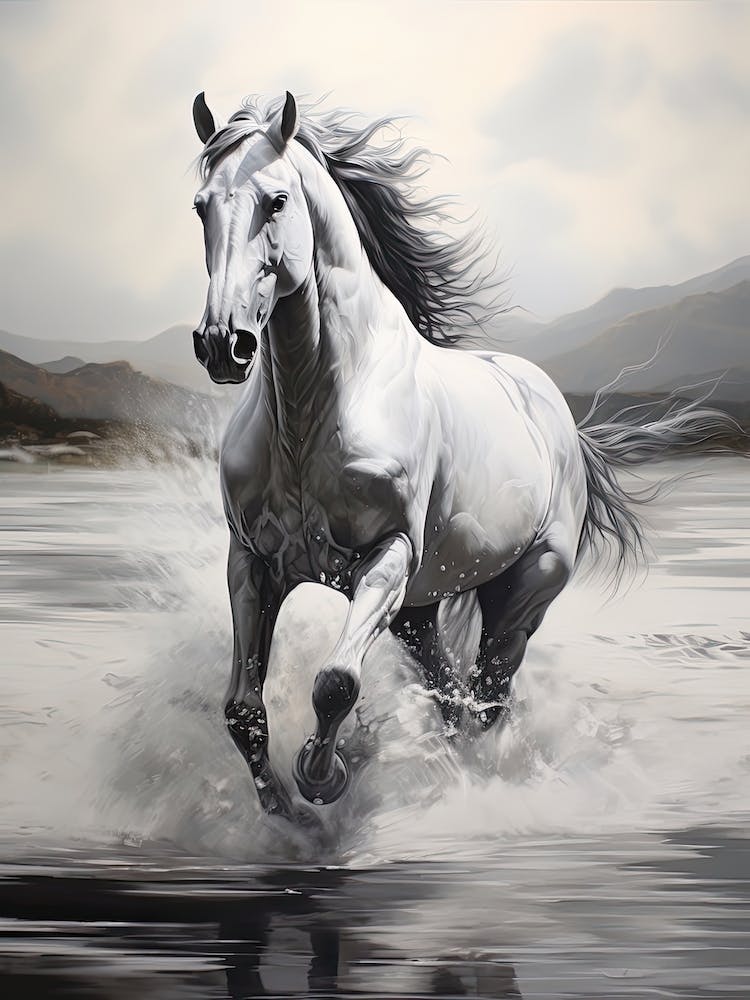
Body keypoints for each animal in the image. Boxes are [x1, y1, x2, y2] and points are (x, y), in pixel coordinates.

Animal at [190, 91, 738, 820]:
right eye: (201, 206)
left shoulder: (388, 557)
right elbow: (242, 710)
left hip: (522, 595)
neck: (315, 412)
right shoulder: (253, 562)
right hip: (418, 614)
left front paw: (321, 778)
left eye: (276, 201)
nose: (225, 343)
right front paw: (286, 812)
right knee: (452, 699)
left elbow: (335, 681)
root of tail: (564, 423)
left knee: (487, 702)